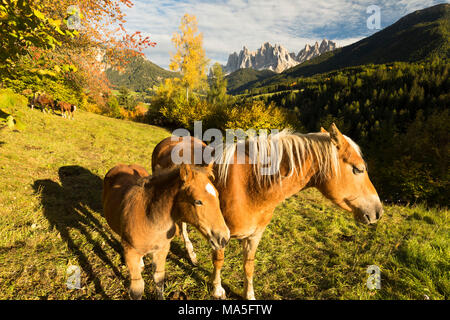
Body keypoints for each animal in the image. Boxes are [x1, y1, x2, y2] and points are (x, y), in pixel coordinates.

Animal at [101, 164, 229, 298]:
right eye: (198, 201)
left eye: (218, 195)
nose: (224, 238)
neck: (151, 221)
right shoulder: (130, 252)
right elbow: (137, 290)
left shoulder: (162, 250)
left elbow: (159, 279)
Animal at [152, 123, 384, 300]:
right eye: (358, 169)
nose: (378, 212)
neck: (249, 187)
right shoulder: (218, 234)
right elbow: (219, 261)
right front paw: (217, 290)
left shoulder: (255, 235)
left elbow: (249, 266)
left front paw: (249, 295)